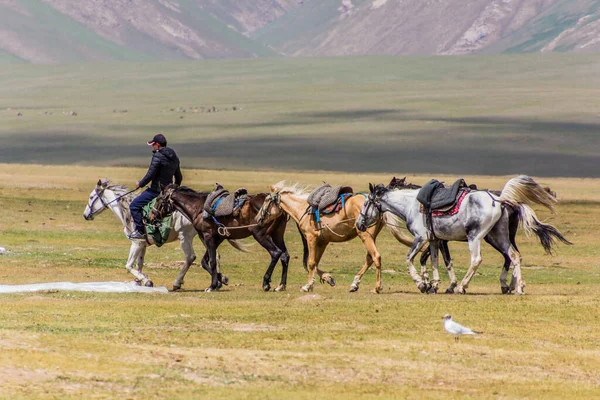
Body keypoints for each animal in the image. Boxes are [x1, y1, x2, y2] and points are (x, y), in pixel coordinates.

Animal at [84, 180, 232, 290]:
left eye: (91, 197)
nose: (85, 215)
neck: (127, 211)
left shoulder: (136, 242)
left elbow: (129, 265)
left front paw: (146, 280)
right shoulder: (143, 245)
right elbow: (139, 264)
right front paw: (138, 281)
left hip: (185, 237)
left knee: (191, 257)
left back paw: (178, 282)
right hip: (204, 236)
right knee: (214, 256)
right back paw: (220, 280)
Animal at [149, 184, 292, 290]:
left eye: (158, 199)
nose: (151, 217)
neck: (198, 208)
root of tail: (277, 205)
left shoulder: (208, 236)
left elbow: (212, 261)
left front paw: (212, 285)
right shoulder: (217, 237)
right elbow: (205, 261)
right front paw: (220, 280)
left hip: (260, 235)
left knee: (275, 253)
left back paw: (266, 283)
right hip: (277, 235)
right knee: (285, 255)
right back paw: (281, 285)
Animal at [256, 183, 418, 292]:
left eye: (266, 201)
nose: (258, 219)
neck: (302, 209)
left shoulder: (311, 238)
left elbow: (310, 263)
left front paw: (307, 286)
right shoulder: (323, 241)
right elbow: (316, 263)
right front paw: (328, 278)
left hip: (365, 235)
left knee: (376, 256)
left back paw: (377, 287)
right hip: (371, 235)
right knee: (369, 258)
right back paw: (354, 284)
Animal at [356, 175, 572, 294]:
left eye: (366, 203)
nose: (359, 224)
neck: (411, 204)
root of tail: (500, 199)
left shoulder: (422, 238)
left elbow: (411, 258)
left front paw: (423, 284)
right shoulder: (435, 240)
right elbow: (435, 261)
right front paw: (434, 284)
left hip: (476, 237)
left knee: (477, 260)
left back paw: (464, 287)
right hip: (499, 236)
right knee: (514, 255)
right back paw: (518, 287)